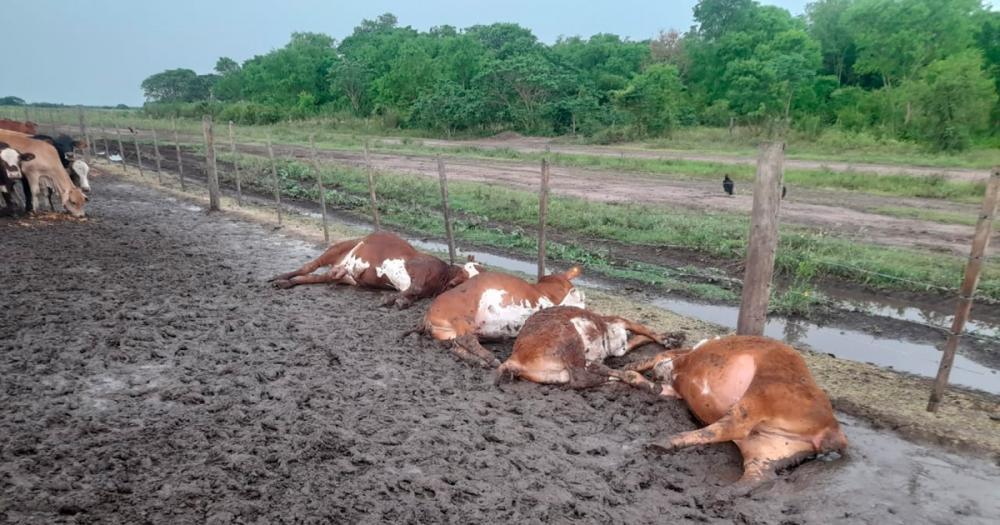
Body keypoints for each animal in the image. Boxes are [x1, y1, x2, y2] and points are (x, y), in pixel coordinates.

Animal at [268, 231, 478, 310]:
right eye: (465, 277)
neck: (442, 275)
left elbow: (412, 294)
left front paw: (400, 300)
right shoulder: (417, 268)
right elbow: (415, 288)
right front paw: (390, 299)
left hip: (343, 276)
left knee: (311, 277)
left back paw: (285, 283)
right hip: (335, 249)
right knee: (307, 267)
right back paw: (278, 277)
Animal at [412, 268, 584, 366]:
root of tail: (426, 315)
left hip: (450, 334)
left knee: (457, 347)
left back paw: (479, 361)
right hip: (462, 318)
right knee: (466, 339)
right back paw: (489, 358)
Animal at [494, 304, 684, 386]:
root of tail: (514, 359)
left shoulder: (619, 347)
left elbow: (639, 338)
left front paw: (672, 338)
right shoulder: (617, 320)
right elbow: (643, 328)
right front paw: (671, 338)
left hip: (558, 374)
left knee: (585, 376)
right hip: (569, 335)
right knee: (581, 379)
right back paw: (638, 381)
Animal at [620, 336, 848, 492]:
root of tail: (834, 430)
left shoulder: (685, 360)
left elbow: (665, 356)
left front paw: (633, 367)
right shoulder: (673, 387)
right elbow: (657, 382)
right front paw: (629, 370)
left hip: (765, 389)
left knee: (733, 426)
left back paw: (657, 443)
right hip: (766, 450)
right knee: (758, 475)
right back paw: (719, 494)